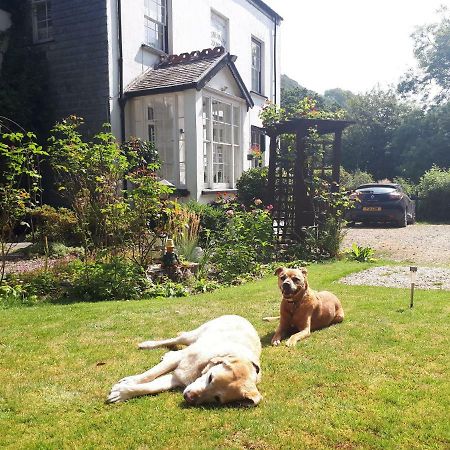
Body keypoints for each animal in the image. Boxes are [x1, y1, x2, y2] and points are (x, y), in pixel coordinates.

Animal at [107, 314, 262, 406]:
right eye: (210, 377)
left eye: (217, 398)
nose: (188, 397)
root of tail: (241, 317)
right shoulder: (179, 359)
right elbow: (149, 375)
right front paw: (129, 381)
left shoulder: (176, 378)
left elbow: (150, 387)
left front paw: (122, 393)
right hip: (192, 335)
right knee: (174, 340)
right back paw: (147, 344)